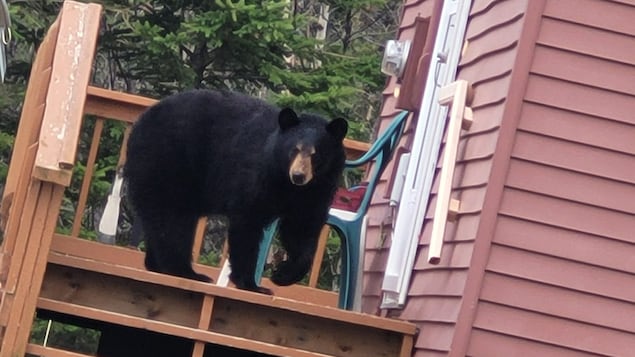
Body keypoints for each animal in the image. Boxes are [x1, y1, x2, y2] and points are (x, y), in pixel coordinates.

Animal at [123, 89, 348, 292]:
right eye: (294, 149)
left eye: (316, 154)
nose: (299, 175)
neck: (285, 184)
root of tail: (140, 123)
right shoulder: (257, 177)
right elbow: (247, 224)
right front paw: (251, 284)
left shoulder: (315, 191)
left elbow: (302, 229)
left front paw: (283, 274)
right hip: (167, 164)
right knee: (173, 221)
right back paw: (186, 271)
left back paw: (158, 265)